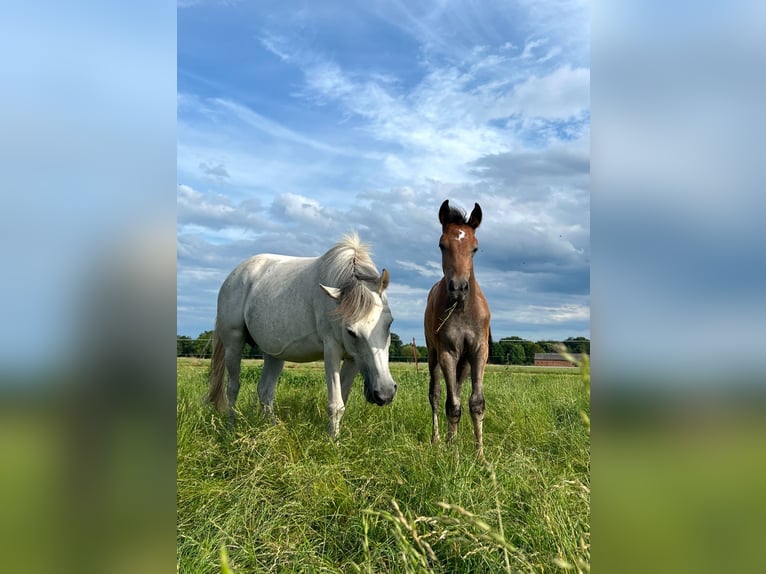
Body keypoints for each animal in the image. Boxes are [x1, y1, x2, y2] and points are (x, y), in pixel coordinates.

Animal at [207, 232, 400, 438]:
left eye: (389, 323)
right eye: (351, 331)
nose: (385, 393)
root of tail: (233, 276)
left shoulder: (353, 359)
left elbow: (343, 398)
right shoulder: (331, 351)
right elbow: (336, 404)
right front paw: (333, 441)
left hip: (274, 354)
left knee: (265, 391)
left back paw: (273, 430)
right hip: (233, 345)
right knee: (233, 388)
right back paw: (230, 429)